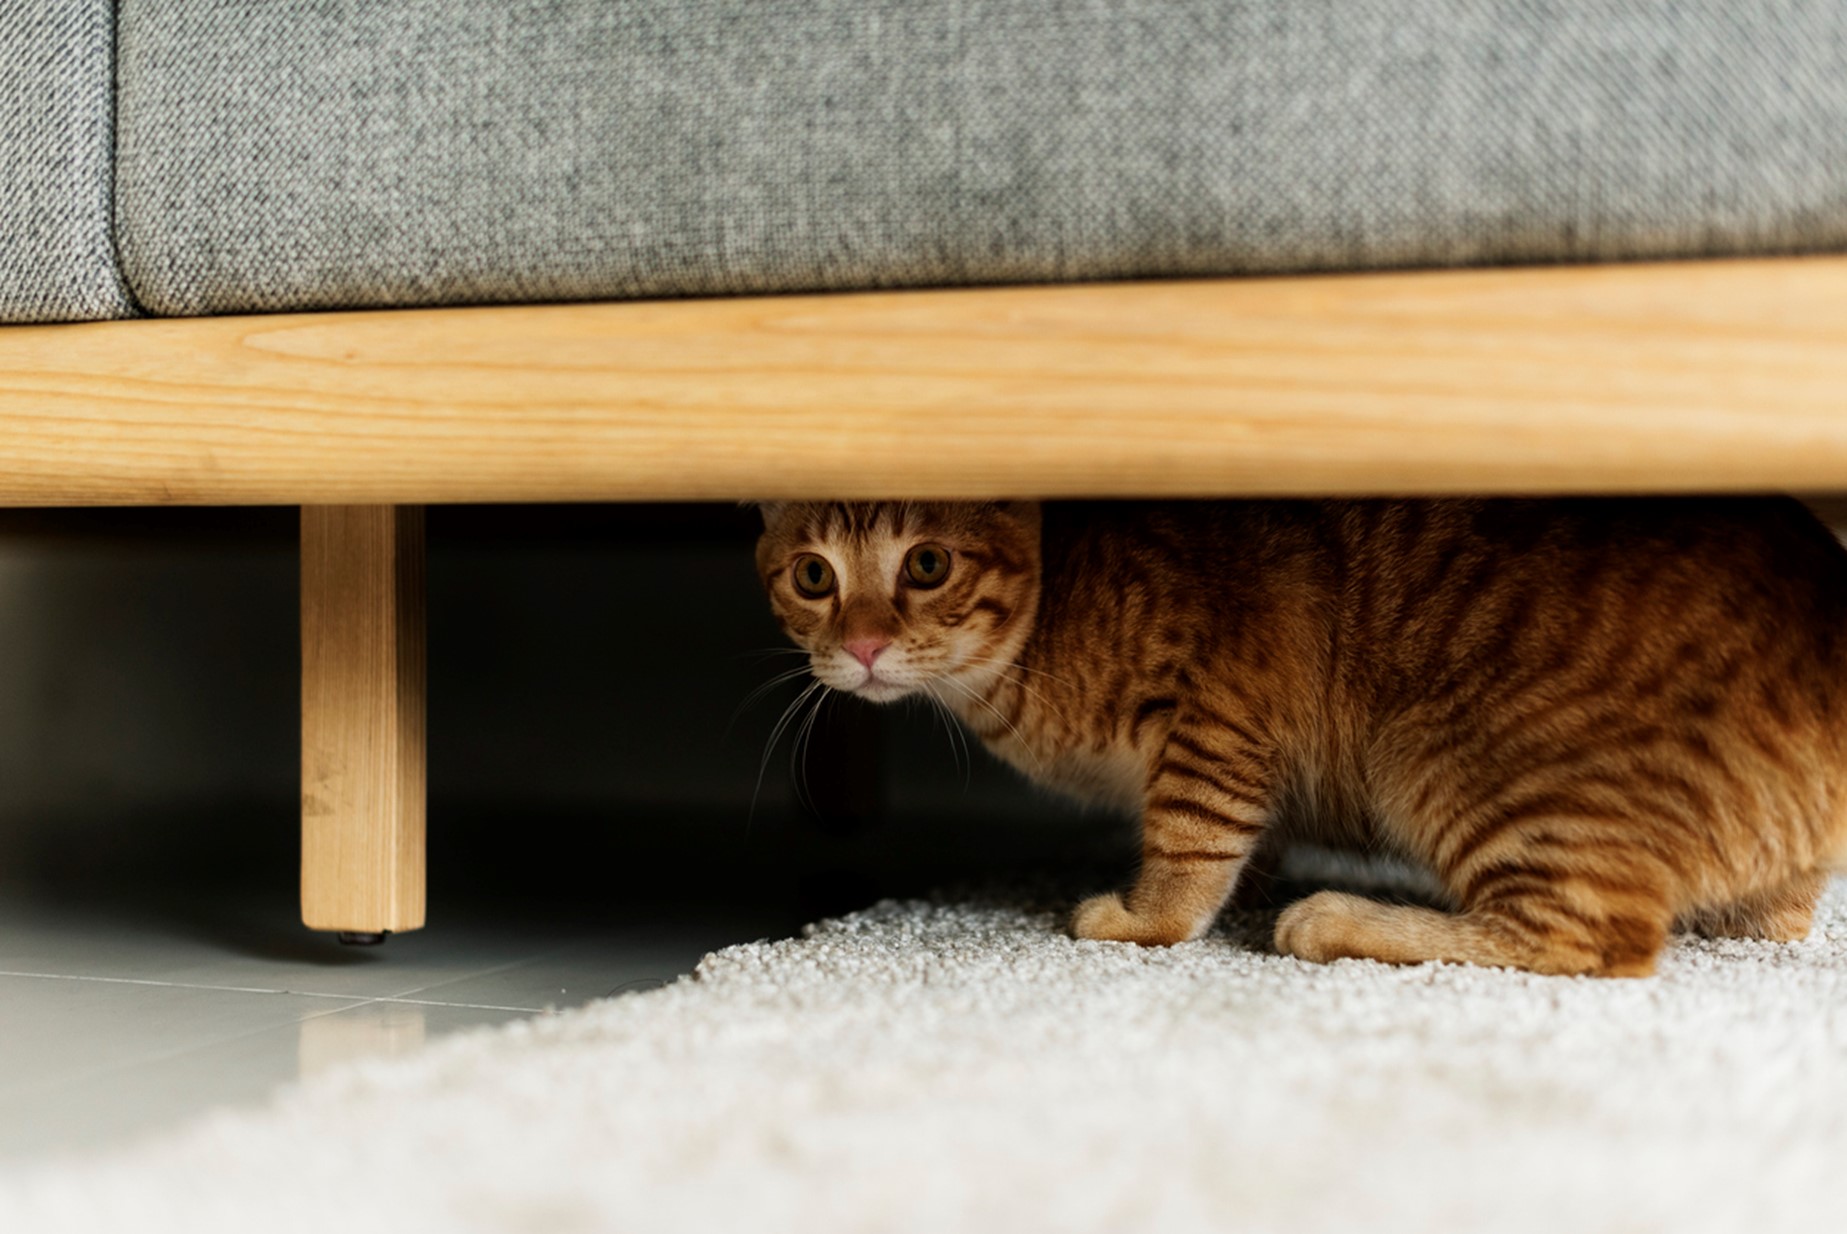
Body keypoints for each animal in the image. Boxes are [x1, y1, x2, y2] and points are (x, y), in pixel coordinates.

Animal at [757, 498, 1847, 975]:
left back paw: (1341, 920)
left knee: (1584, 937)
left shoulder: (1216, 711)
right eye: (812, 576)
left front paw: (1144, 916)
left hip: (1453, 761)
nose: (860, 645)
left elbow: (1187, 848)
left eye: (926, 563)